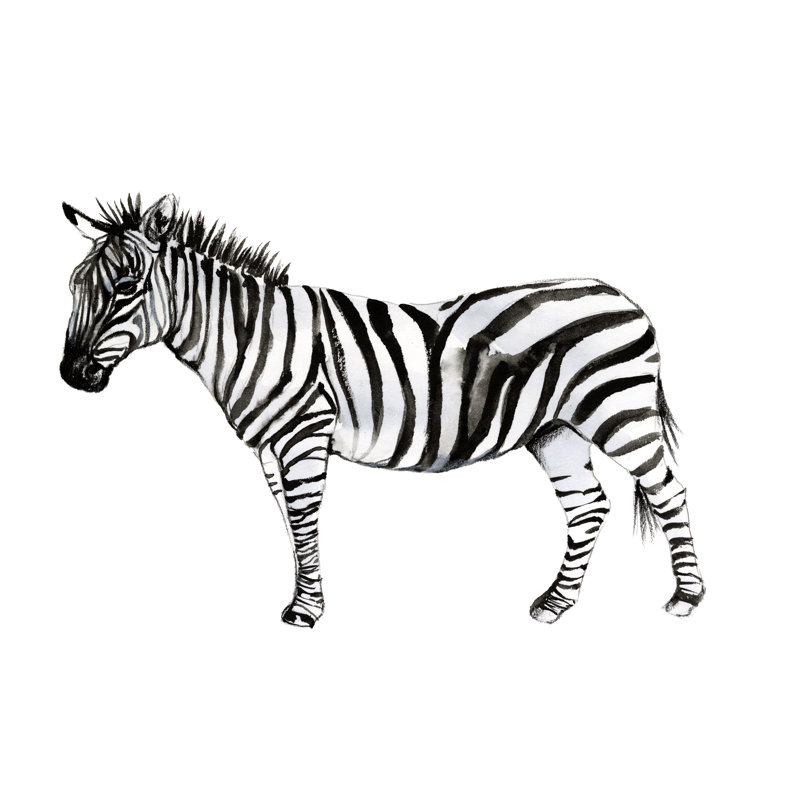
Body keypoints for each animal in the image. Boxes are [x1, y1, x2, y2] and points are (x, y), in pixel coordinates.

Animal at [60, 194, 705, 627]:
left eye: (126, 289)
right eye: (73, 287)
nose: (72, 376)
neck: (249, 336)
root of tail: (623, 296)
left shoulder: (305, 430)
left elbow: (304, 519)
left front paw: (306, 610)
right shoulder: (269, 445)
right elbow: (289, 522)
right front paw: (307, 596)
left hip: (618, 412)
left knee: (667, 489)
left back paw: (687, 597)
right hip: (556, 430)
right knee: (588, 506)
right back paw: (554, 604)